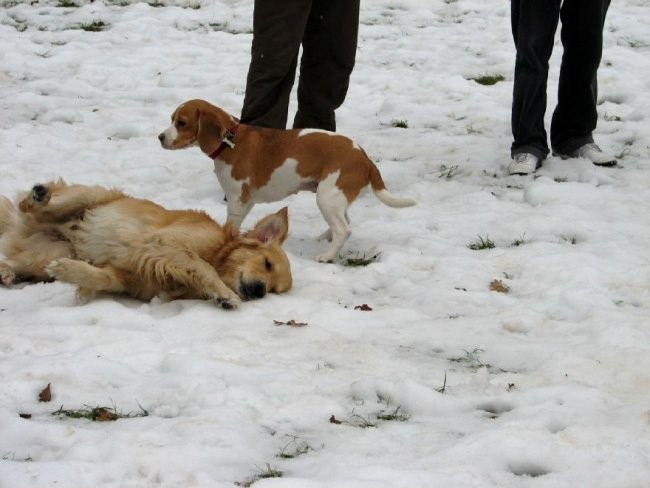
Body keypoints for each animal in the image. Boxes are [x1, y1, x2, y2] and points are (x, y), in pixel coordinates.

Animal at [0, 179, 288, 308]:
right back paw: (40, 195)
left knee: (15, 260)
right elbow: (201, 265)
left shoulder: (124, 276)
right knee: (31, 206)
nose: (260, 291)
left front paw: (75, 277)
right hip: (86, 197)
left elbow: (100, 277)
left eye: (274, 291)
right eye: (267, 263)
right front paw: (224, 294)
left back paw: (6, 273)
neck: (219, 252)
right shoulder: (161, 243)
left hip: (47, 253)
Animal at [156, 98, 416, 264]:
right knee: (345, 220)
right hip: (335, 196)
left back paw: (328, 255)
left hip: (327, 196)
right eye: (171, 119)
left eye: (181, 123)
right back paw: (325, 238)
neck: (230, 140)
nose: (160, 137)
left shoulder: (237, 199)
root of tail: (364, 157)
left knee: (345, 229)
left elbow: (230, 227)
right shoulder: (247, 200)